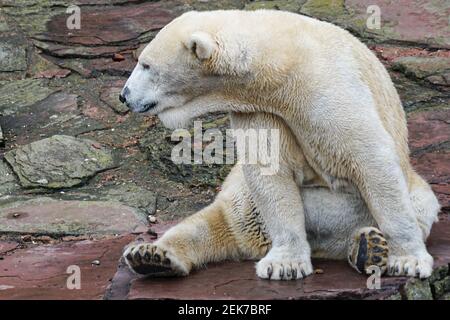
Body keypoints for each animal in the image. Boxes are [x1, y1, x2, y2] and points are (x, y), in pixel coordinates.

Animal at [118, 10, 440, 280]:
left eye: (146, 64)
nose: (124, 95)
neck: (282, 60)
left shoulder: (327, 85)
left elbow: (370, 158)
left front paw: (409, 261)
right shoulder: (261, 107)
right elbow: (270, 171)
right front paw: (285, 264)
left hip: (407, 194)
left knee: (417, 205)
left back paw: (368, 247)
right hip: (242, 200)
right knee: (216, 222)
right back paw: (150, 255)